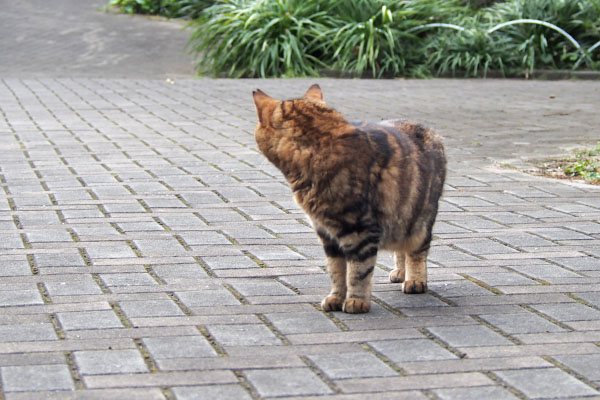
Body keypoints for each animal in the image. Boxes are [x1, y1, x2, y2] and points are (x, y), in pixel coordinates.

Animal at [252, 84, 446, 314]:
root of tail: (425, 128)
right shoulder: (327, 235)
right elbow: (336, 272)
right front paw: (336, 298)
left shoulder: (361, 231)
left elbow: (358, 272)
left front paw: (356, 301)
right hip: (402, 219)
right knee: (401, 249)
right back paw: (400, 272)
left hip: (419, 219)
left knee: (417, 252)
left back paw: (414, 280)